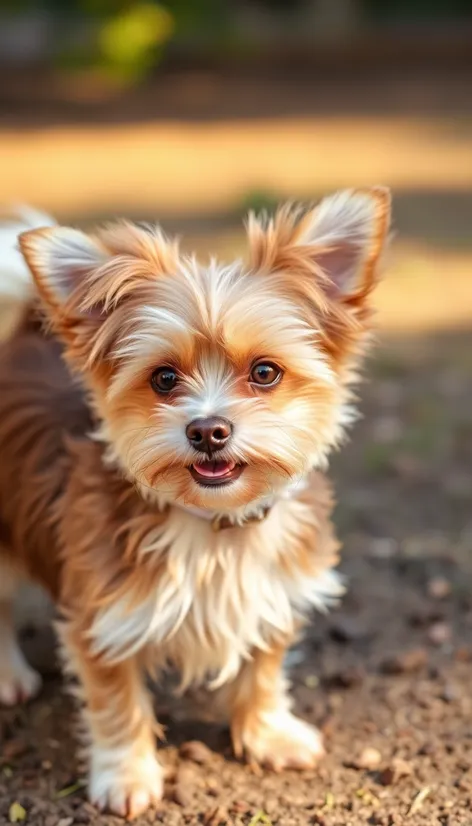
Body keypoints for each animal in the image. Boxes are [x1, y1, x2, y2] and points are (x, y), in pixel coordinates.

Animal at [0, 188, 390, 816]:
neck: (215, 528)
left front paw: (269, 733)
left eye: (265, 372)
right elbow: (116, 703)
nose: (208, 430)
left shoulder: (276, 593)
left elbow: (264, 669)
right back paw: (9, 674)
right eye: (163, 379)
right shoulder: (100, 615)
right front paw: (126, 774)